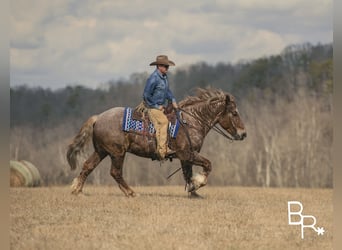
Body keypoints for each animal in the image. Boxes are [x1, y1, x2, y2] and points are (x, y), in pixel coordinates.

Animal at [67, 88, 247, 197]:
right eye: (234, 113)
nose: (243, 134)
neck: (191, 121)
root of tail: (98, 117)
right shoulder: (187, 154)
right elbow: (208, 165)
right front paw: (197, 184)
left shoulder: (185, 157)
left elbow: (187, 174)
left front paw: (193, 192)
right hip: (117, 153)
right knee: (115, 173)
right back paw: (131, 193)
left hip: (102, 151)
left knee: (87, 166)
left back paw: (77, 190)